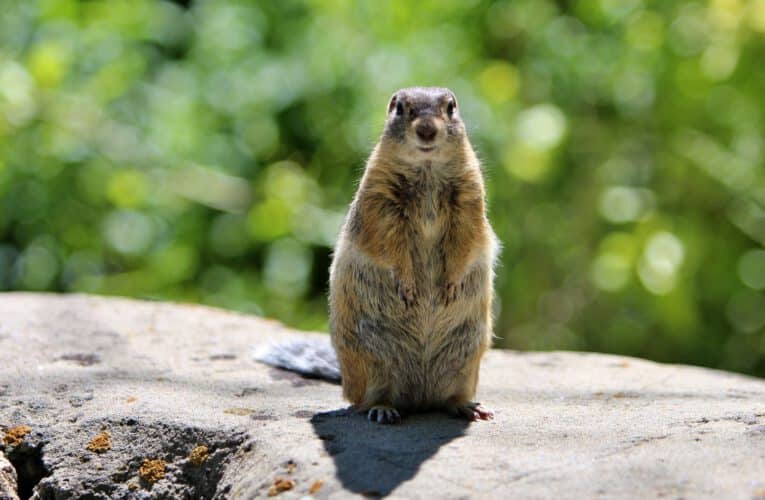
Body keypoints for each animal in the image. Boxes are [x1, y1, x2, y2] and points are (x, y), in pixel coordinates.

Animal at [254, 88, 498, 424]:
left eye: (450, 107)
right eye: (400, 108)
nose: (426, 130)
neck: (427, 168)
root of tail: (419, 399)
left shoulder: (470, 196)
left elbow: (467, 240)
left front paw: (451, 285)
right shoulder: (379, 199)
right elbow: (387, 244)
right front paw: (408, 286)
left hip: (468, 357)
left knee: (450, 397)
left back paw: (470, 407)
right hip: (371, 361)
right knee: (364, 399)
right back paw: (383, 410)